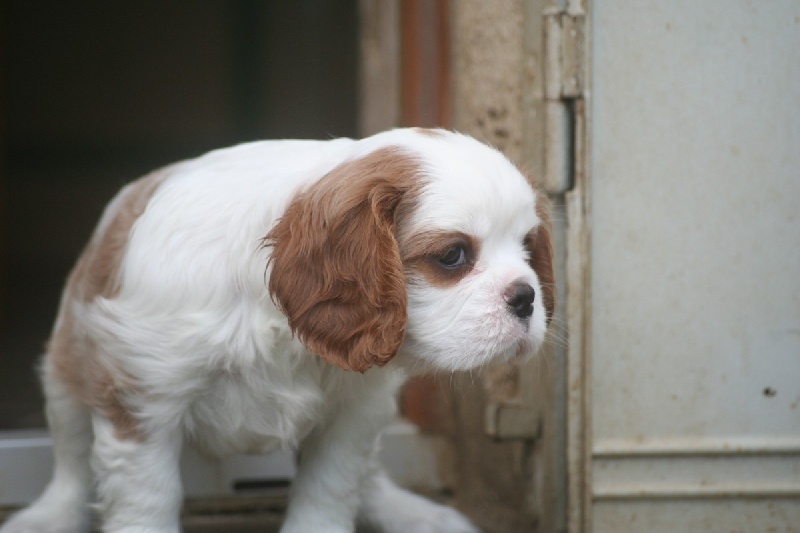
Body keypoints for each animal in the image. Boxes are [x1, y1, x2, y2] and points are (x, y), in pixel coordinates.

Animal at [0, 127, 552, 528]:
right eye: (453, 255)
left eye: (527, 248)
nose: (527, 298)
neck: (282, 329)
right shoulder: (142, 399)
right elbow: (148, 500)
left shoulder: (352, 412)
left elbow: (330, 488)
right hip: (67, 369)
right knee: (72, 465)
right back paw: (45, 518)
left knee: (368, 475)